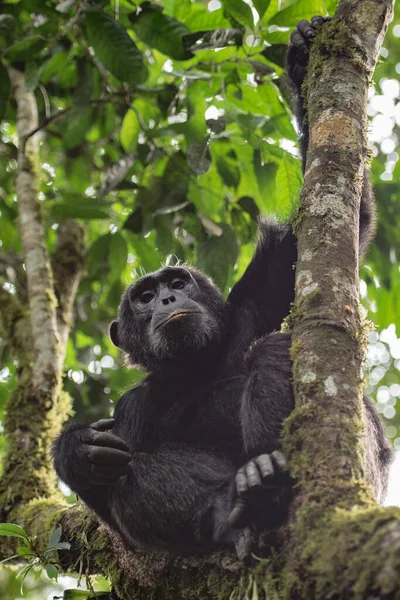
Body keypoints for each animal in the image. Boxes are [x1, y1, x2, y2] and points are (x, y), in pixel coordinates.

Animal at [51, 19, 392, 564]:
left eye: (176, 283)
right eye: (144, 297)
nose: (167, 299)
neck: (198, 361)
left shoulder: (260, 294)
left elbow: (342, 218)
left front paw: (302, 58)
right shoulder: (131, 409)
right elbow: (123, 536)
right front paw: (77, 450)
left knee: (274, 352)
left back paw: (267, 478)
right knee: (134, 478)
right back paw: (236, 503)